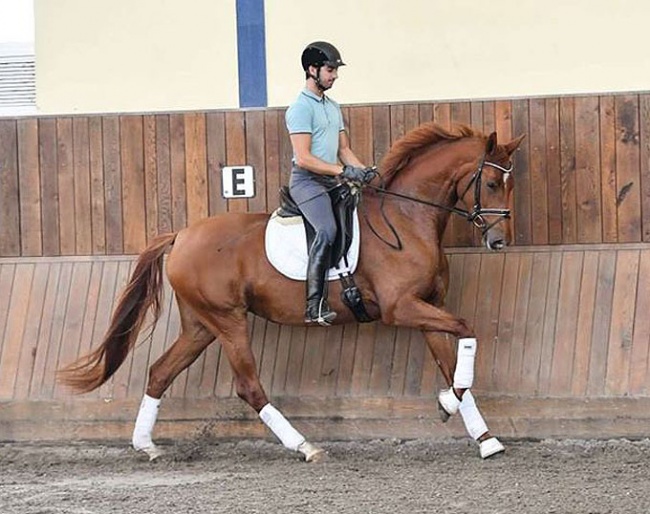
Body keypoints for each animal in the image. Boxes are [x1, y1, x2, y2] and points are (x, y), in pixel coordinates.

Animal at [59, 123, 520, 460]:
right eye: (491, 184)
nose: (499, 243)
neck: (406, 218)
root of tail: (182, 235)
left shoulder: (428, 306)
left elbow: (454, 364)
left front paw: (483, 437)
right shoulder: (401, 307)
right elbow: (468, 329)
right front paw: (449, 407)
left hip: (201, 325)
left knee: (160, 372)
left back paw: (147, 446)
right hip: (228, 320)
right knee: (248, 386)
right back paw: (305, 446)